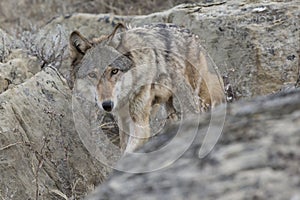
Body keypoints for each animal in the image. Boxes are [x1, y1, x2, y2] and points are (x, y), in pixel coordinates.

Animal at [69, 23, 224, 152]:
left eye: (114, 71)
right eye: (92, 75)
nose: (107, 105)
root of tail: (189, 32)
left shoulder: (140, 123)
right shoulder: (123, 120)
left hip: (196, 99)